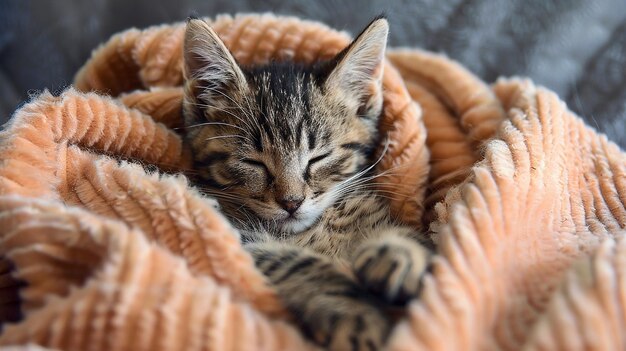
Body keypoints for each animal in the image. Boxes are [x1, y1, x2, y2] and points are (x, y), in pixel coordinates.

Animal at [183, 17, 432, 351]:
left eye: (319, 158)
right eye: (253, 162)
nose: (291, 202)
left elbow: (419, 241)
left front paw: (401, 252)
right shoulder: (233, 239)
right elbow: (293, 261)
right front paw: (355, 314)